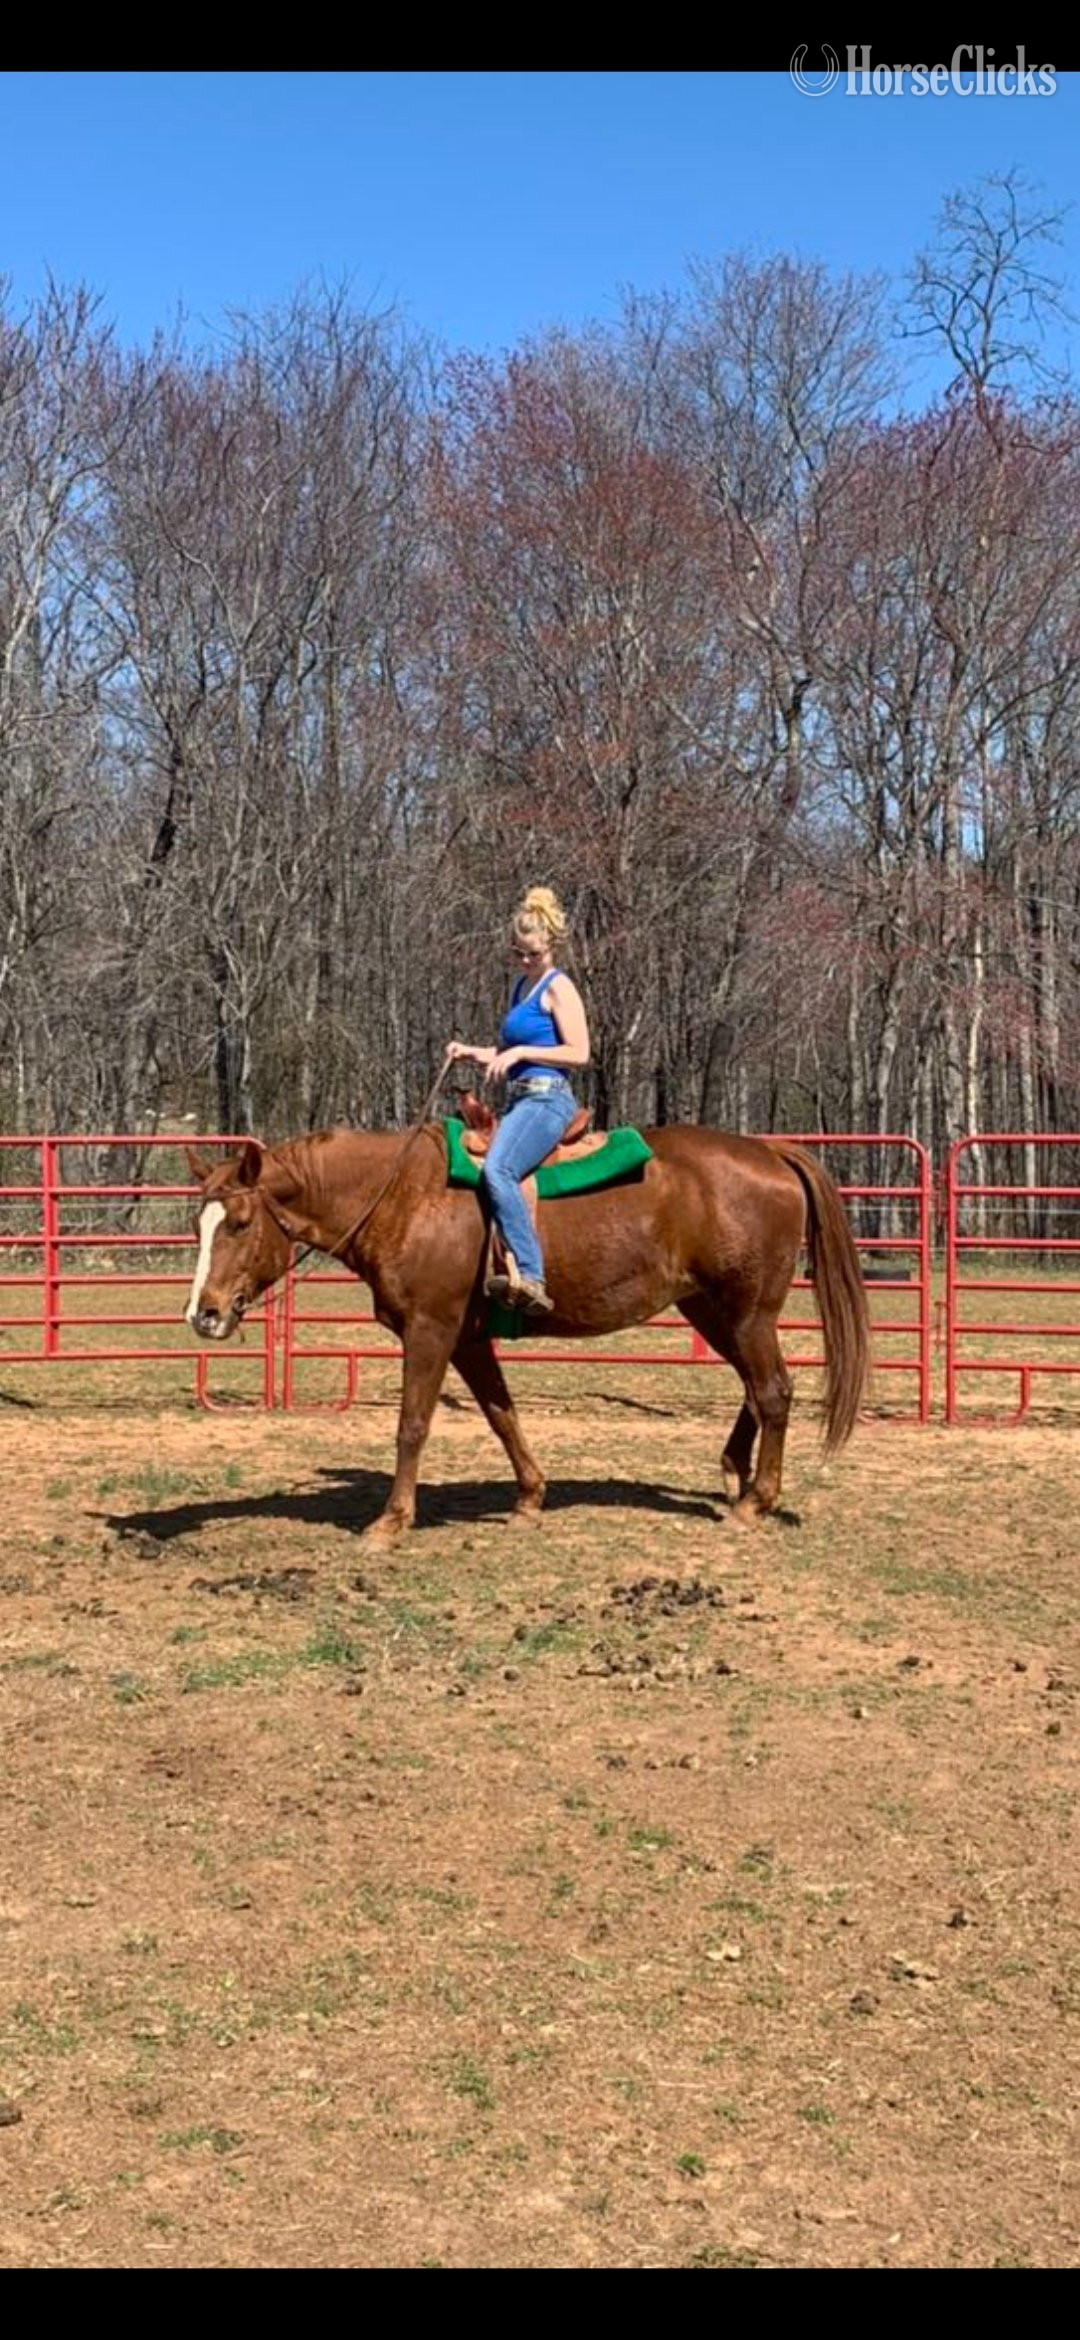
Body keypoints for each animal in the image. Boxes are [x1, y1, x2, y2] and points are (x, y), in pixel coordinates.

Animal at [184, 1121, 870, 1546]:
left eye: (239, 1223)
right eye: (200, 1223)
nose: (204, 1314)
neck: (404, 1196)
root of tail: (770, 1152)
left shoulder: (430, 1330)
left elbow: (413, 1424)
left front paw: (392, 1521)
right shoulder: (467, 1339)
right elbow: (501, 1414)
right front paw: (530, 1498)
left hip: (749, 1312)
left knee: (773, 1391)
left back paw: (756, 1501)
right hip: (713, 1310)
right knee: (756, 1389)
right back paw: (735, 1475)